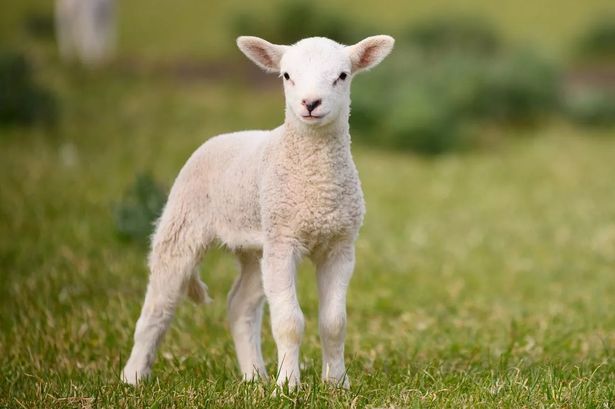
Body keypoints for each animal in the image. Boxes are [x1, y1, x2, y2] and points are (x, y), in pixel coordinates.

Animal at [122, 33, 398, 388]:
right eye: (286, 75)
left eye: (342, 75)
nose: (310, 103)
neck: (316, 184)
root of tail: (228, 136)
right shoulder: (283, 241)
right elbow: (289, 322)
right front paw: (288, 386)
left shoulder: (339, 245)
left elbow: (334, 323)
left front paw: (337, 384)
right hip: (184, 221)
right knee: (159, 304)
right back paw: (132, 377)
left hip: (256, 245)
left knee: (240, 306)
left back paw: (254, 377)